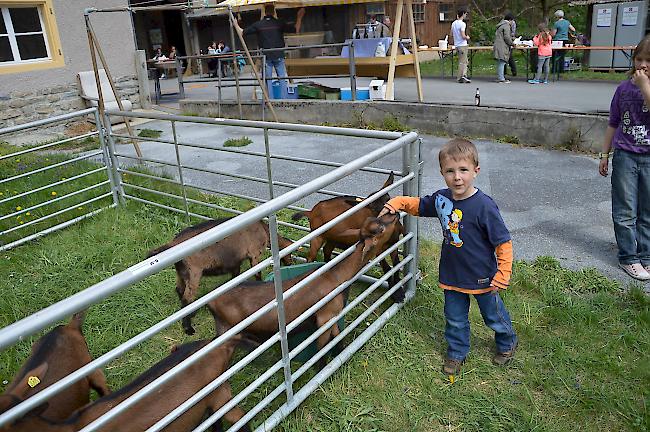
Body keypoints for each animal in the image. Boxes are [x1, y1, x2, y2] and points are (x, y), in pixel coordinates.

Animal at [148, 218, 292, 336]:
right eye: (290, 254)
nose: (290, 264)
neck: (264, 230)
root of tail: (172, 244)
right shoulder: (254, 254)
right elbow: (257, 274)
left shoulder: (235, 262)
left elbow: (236, 277)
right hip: (193, 272)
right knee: (186, 298)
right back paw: (188, 329)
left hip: (181, 272)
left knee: (179, 290)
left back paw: (191, 314)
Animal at [206, 214, 400, 370]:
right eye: (379, 228)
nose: (395, 213)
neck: (335, 276)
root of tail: (211, 302)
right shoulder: (324, 317)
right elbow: (322, 349)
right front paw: (322, 371)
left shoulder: (333, 316)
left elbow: (338, 339)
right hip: (228, 331)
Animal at [292, 170, 402, 302]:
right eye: (372, 206)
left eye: (388, 198)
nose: (392, 215)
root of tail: (311, 211)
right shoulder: (378, 248)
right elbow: (387, 267)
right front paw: (396, 294)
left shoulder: (394, 243)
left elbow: (397, 263)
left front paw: (399, 290)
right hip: (317, 236)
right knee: (311, 257)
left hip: (332, 238)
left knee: (327, 250)